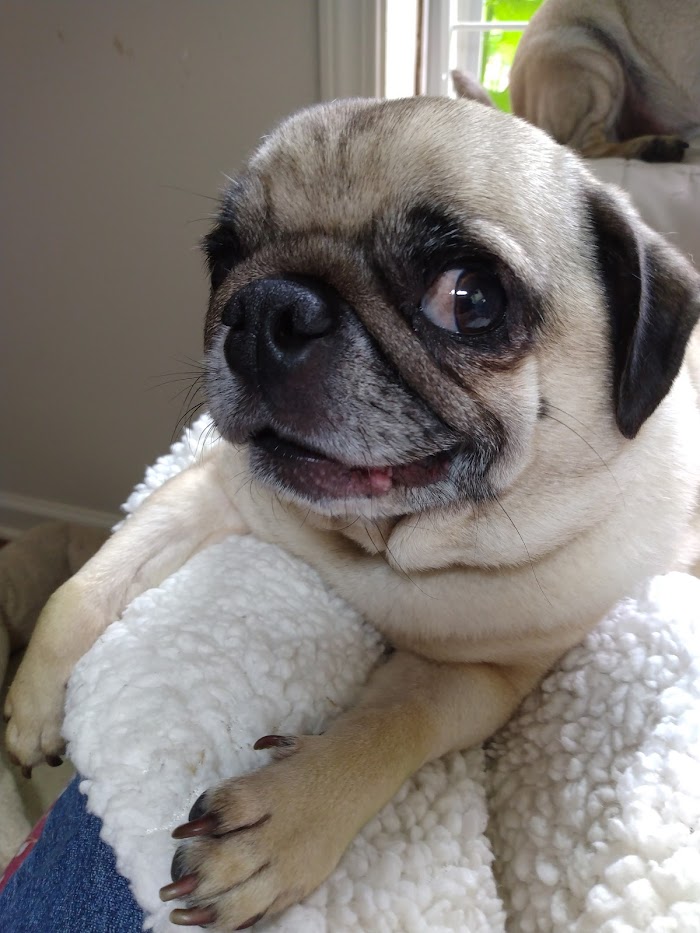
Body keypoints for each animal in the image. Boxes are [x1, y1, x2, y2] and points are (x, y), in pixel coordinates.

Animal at [5, 97, 700, 929]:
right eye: (223, 257)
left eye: (472, 298)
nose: (266, 305)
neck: (382, 545)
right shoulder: (216, 488)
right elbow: (80, 591)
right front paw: (33, 701)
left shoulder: (481, 675)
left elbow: (387, 725)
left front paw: (287, 815)